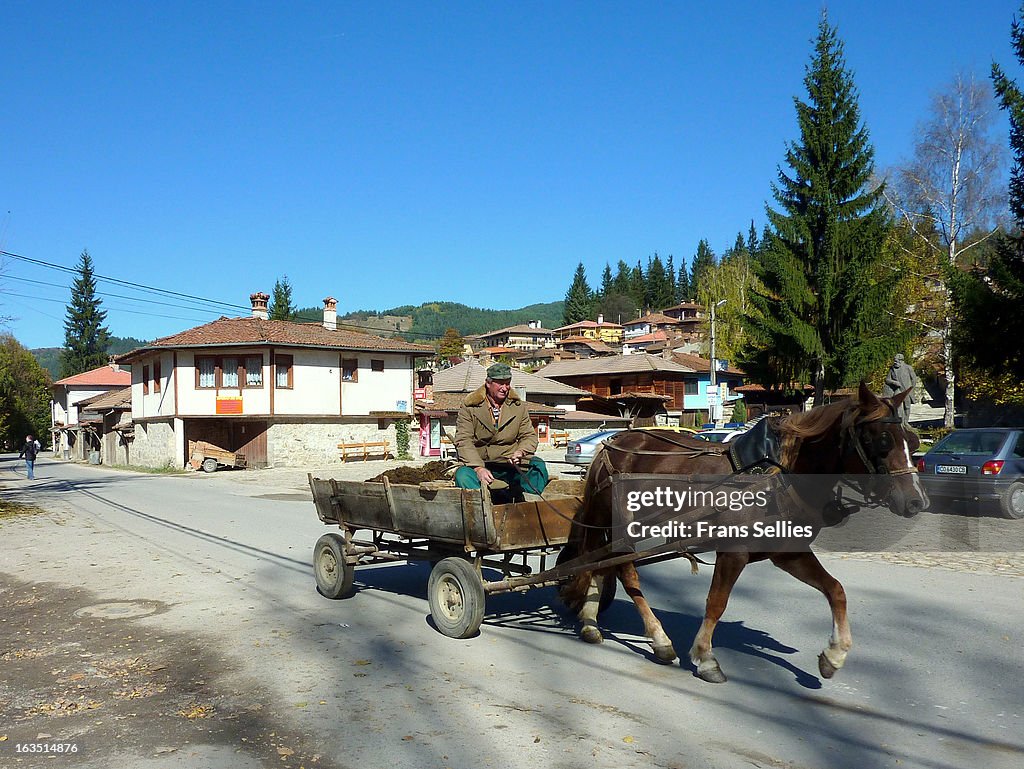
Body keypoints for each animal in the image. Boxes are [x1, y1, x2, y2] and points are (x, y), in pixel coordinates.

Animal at [561, 385, 929, 684]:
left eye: (912, 442)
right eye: (881, 441)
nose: (917, 501)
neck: (778, 474)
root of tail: (612, 444)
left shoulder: (788, 553)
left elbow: (836, 590)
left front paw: (835, 655)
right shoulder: (734, 552)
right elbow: (716, 603)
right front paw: (706, 657)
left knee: (601, 565)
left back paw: (591, 621)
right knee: (624, 571)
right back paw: (658, 639)